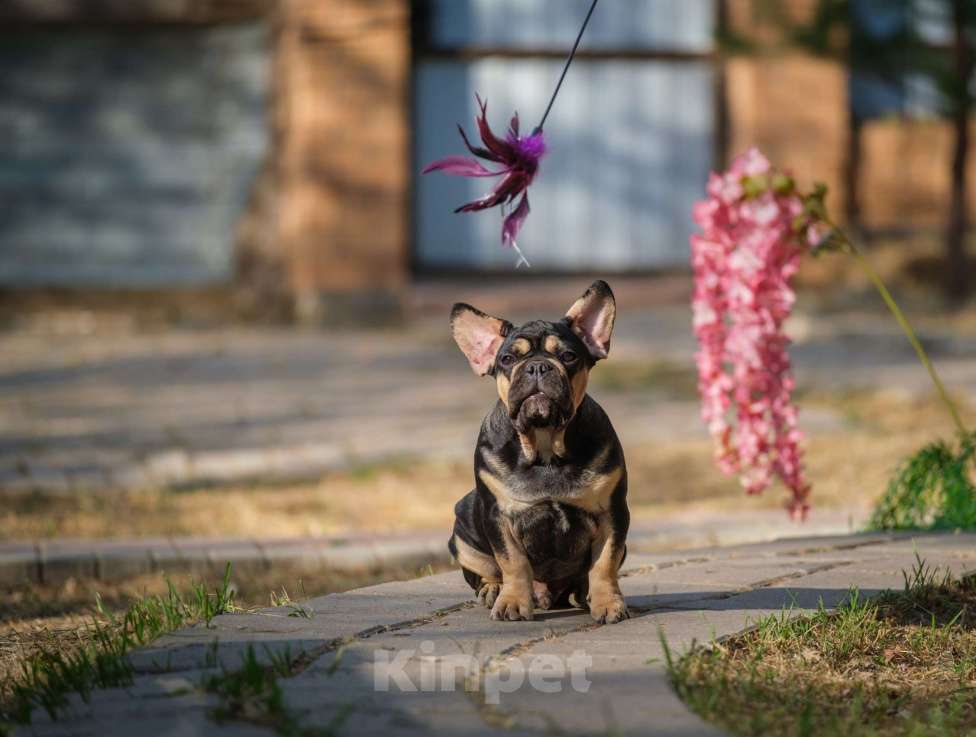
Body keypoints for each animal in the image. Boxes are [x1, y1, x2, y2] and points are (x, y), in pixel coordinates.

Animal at [446, 280, 628, 620]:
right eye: (507, 359)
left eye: (568, 356)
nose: (538, 367)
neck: (545, 446)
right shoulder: (498, 516)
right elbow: (512, 562)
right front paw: (512, 602)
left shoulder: (612, 513)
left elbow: (604, 563)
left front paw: (608, 603)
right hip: (463, 533)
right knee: (486, 570)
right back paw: (494, 590)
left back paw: (583, 594)